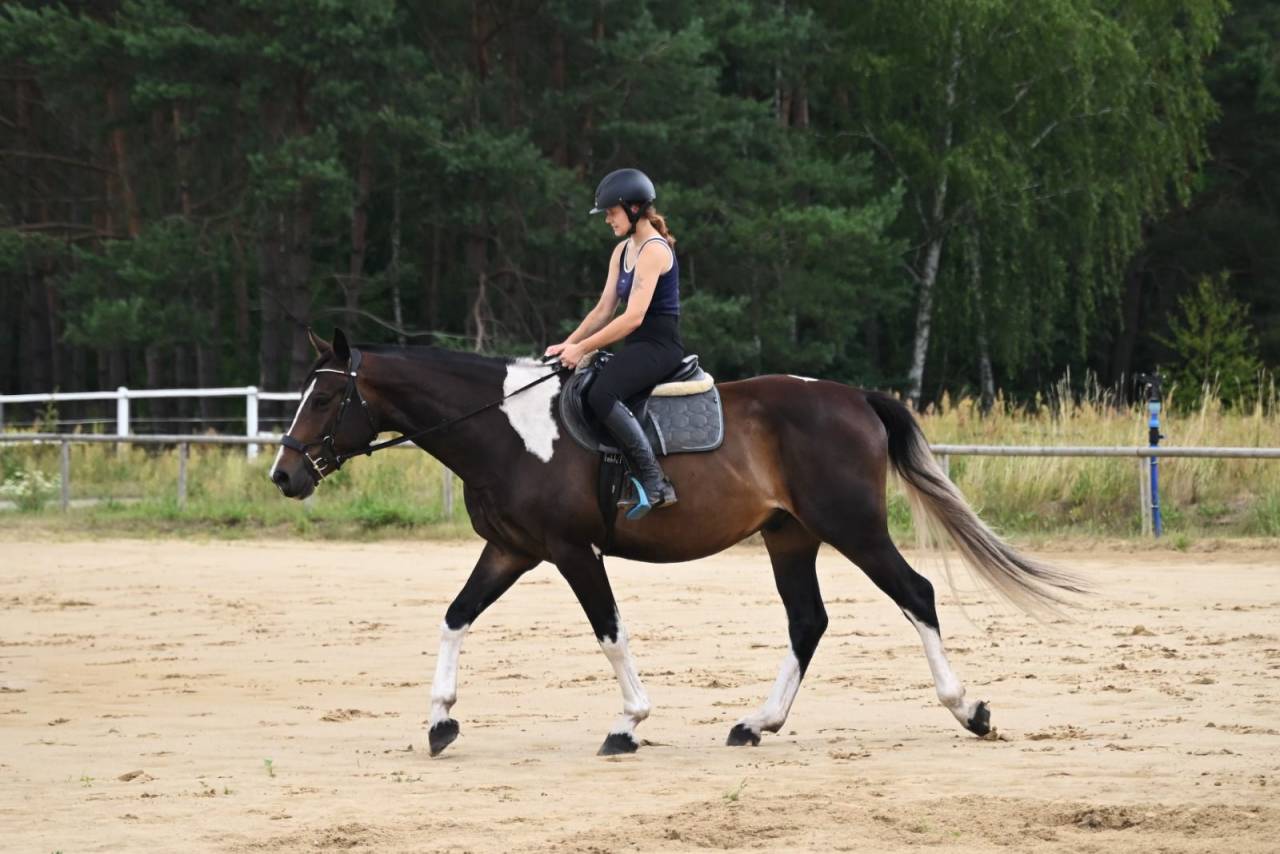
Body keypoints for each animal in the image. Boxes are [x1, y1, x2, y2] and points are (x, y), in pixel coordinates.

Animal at [269, 329, 1084, 756]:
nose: (284, 474)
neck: (508, 430)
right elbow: (454, 616)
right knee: (808, 621)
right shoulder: (512, 550)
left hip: (851, 527)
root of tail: (853, 396)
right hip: (791, 538)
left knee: (915, 595)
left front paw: (628, 724)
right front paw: (440, 719)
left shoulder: (571, 551)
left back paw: (968, 709)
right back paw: (758, 722)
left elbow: (609, 632)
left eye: (329, 396)